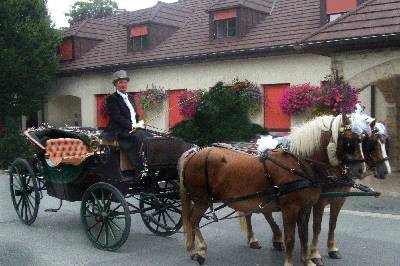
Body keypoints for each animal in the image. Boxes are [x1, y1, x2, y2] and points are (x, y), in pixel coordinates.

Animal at [178, 113, 366, 264]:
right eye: (348, 141)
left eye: (362, 140)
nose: (360, 170)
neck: (300, 165)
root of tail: (195, 153)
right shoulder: (290, 208)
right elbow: (290, 238)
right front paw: (289, 262)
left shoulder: (305, 208)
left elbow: (304, 236)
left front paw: (308, 261)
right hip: (202, 200)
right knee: (193, 220)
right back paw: (201, 250)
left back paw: (193, 249)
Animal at [310, 119, 390, 266]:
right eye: (371, 143)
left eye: (385, 142)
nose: (386, 171)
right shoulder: (319, 202)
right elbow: (317, 227)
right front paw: (314, 254)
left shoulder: (339, 199)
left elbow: (333, 224)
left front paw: (332, 249)